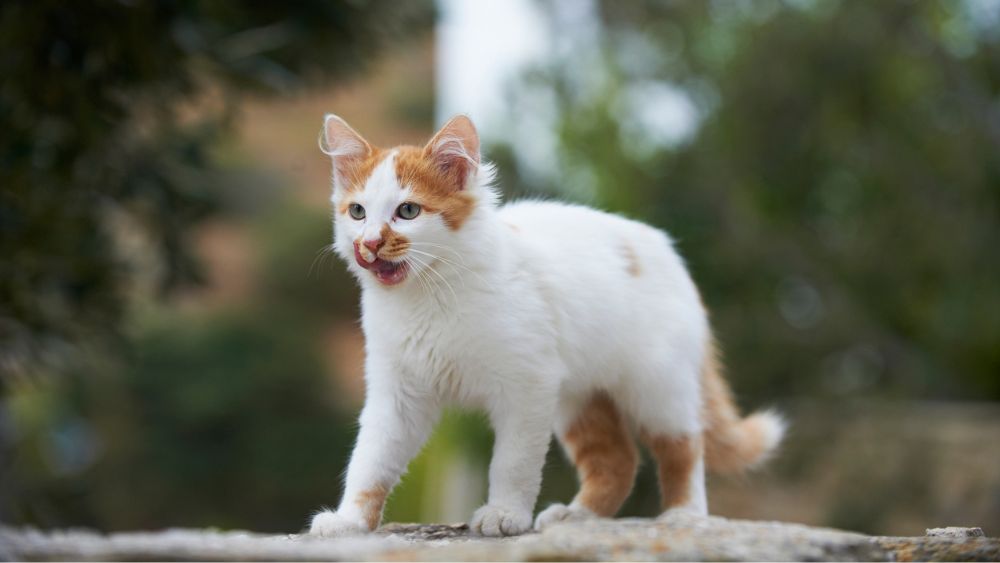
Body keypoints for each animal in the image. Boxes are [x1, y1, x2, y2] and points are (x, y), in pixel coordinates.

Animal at [308, 113, 784, 536]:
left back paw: (684, 514)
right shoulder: (398, 393)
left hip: (655, 385)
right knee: (617, 461)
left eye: (407, 211)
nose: (369, 243)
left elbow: (512, 462)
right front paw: (350, 520)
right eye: (357, 212)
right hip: (580, 397)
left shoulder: (526, 384)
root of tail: (666, 250)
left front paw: (504, 514)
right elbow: (370, 460)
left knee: (683, 446)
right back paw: (579, 516)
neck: (428, 298)